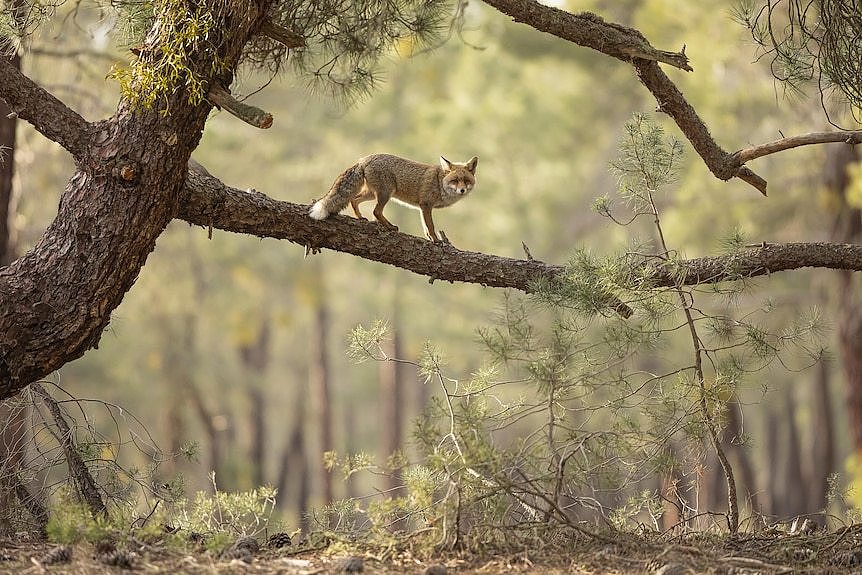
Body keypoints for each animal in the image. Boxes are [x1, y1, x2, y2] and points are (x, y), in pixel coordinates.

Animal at [308, 154, 480, 242]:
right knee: (376, 212)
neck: (439, 183)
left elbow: (425, 227)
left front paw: (430, 239)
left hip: (371, 194)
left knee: (354, 200)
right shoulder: (426, 205)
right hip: (385, 194)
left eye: (466, 180)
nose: (462, 190)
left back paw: (360, 217)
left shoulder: (422, 208)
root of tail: (364, 159)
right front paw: (436, 241)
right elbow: (430, 226)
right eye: (455, 180)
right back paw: (389, 227)